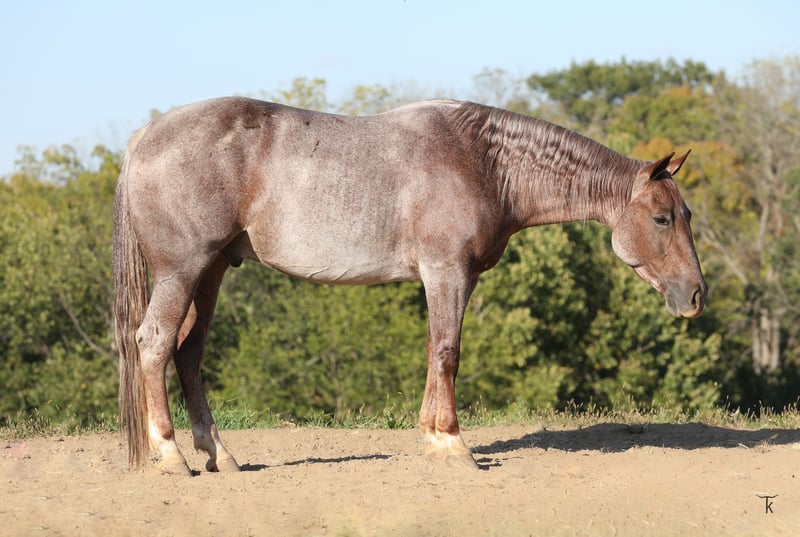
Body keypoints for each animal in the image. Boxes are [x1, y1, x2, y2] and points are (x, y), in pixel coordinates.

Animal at [113, 97, 706, 475]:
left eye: (686, 214)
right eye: (661, 218)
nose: (696, 295)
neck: (484, 162)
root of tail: (145, 135)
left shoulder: (446, 278)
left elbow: (432, 351)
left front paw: (432, 439)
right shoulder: (447, 272)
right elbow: (447, 351)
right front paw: (454, 444)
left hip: (211, 273)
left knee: (188, 354)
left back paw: (221, 456)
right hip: (184, 270)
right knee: (154, 344)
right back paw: (171, 456)